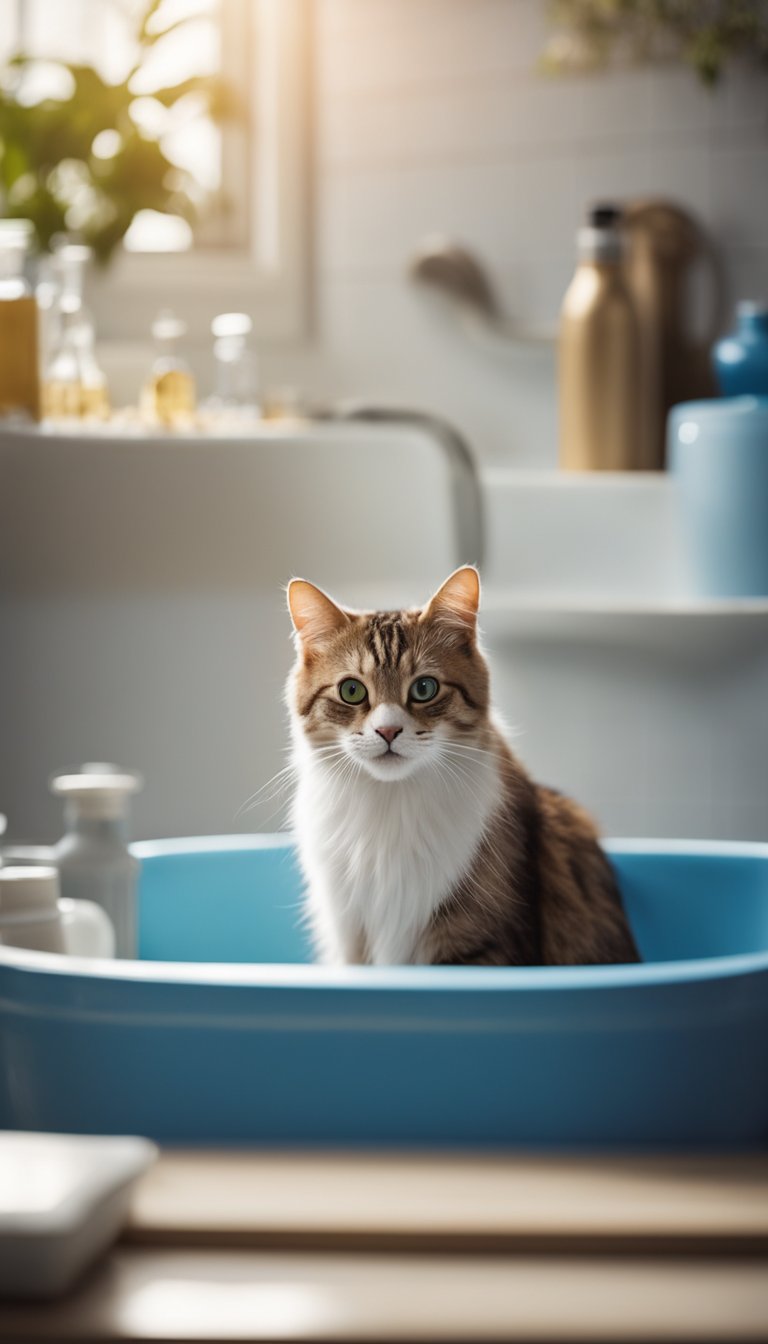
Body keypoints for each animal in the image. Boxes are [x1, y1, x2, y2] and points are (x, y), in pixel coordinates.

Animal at [285, 567, 640, 967]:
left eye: (424, 688)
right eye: (351, 691)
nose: (388, 731)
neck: (391, 803)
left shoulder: (478, 944)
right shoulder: (351, 942)